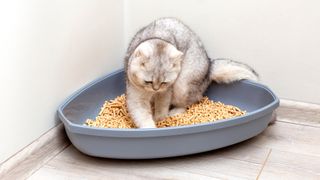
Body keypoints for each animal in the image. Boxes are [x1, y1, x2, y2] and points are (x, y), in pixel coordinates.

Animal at [124, 17, 258, 128]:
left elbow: (162, 106)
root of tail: (209, 66)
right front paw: (150, 127)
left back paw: (175, 112)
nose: (156, 89)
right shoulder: (136, 93)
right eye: (148, 81)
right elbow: (142, 115)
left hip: (182, 85)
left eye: (164, 83)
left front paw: (160, 119)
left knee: (189, 102)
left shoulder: (166, 91)